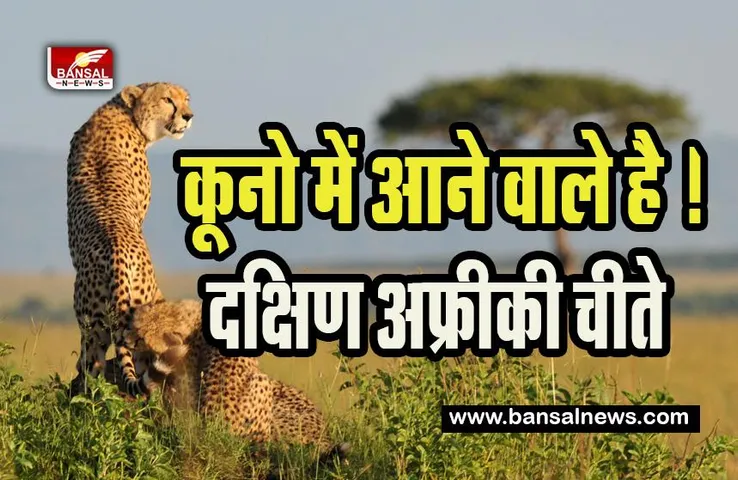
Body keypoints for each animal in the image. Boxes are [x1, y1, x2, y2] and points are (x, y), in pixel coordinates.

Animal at [66, 82, 194, 398]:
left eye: (186, 99)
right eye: (168, 99)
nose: (188, 116)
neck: (123, 112)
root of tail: (118, 256)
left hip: (94, 326)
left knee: (92, 369)